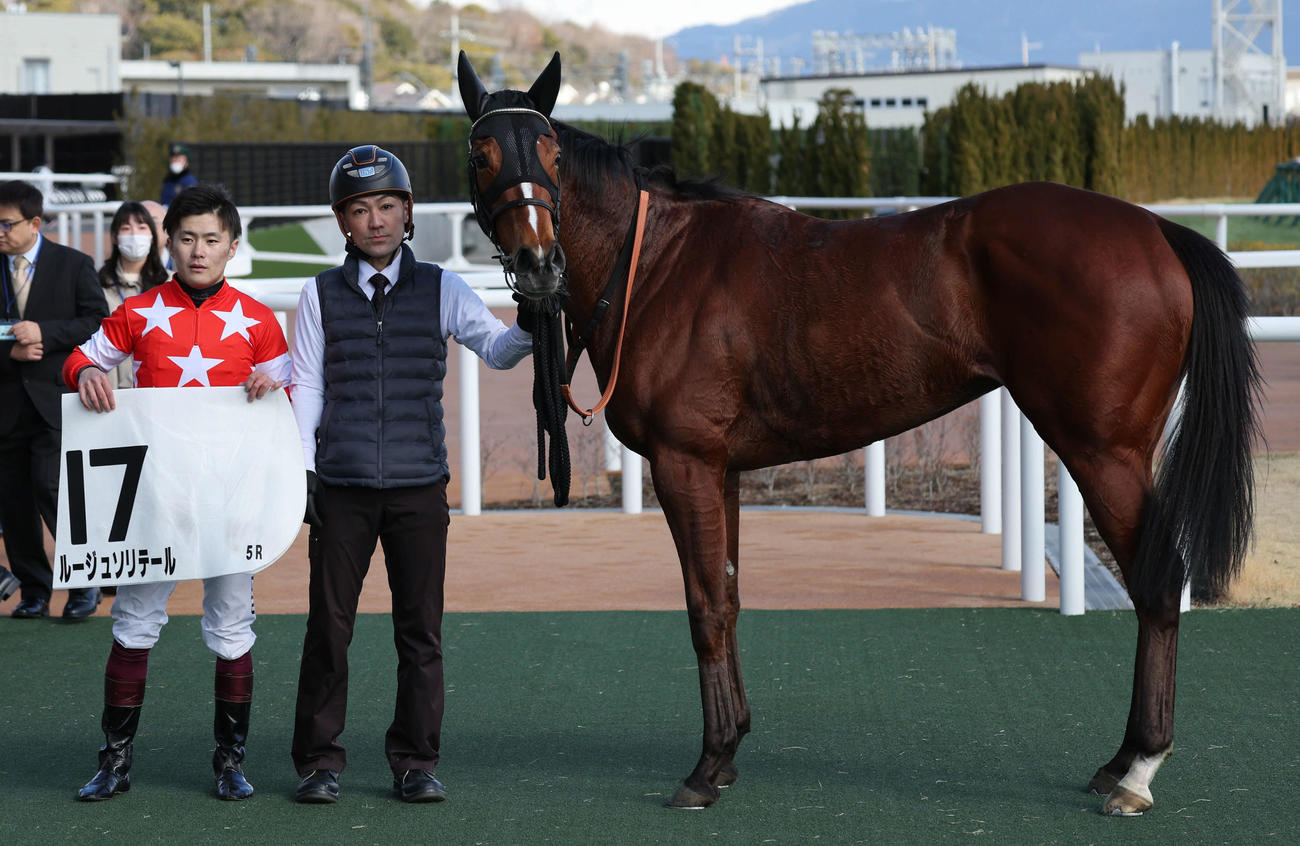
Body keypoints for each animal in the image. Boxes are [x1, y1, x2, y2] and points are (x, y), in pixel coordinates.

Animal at [456, 51, 1262, 816]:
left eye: (549, 150)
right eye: (483, 154)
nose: (537, 263)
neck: (656, 263)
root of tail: (1157, 230)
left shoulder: (685, 462)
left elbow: (704, 607)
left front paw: (707, 768)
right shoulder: (722, 469)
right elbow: (730, 594)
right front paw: (732, 745)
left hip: (1105, 452)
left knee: (1157, 583)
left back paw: (1140, 769)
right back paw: (1119, 761)